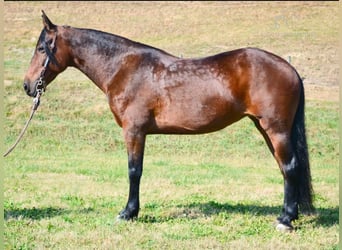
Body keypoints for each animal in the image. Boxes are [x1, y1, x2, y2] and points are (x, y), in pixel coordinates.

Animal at [22, 11, 314, 230]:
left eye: (41, 48)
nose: (27, 85)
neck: (123, 68)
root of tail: (289, 68)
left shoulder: (134, 131)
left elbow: (134, 171)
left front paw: (128, 213)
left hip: (276, 130)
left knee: (290, 167)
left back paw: (286, 220)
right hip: (266, 129)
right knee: (286, 168)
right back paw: (289, 214)